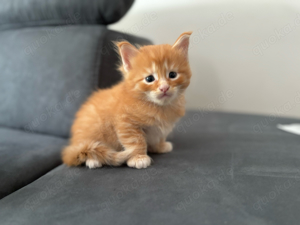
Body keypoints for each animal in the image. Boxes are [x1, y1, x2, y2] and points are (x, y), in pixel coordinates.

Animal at [62, 31, 192, 169]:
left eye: (172, 75)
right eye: (149, 79)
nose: (164, 88)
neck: (159, 107)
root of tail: (74, 143)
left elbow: (159, 136)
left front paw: (160, 146)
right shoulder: (125, 123)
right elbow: (136, 142)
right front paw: (139, 158)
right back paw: (93, 160)